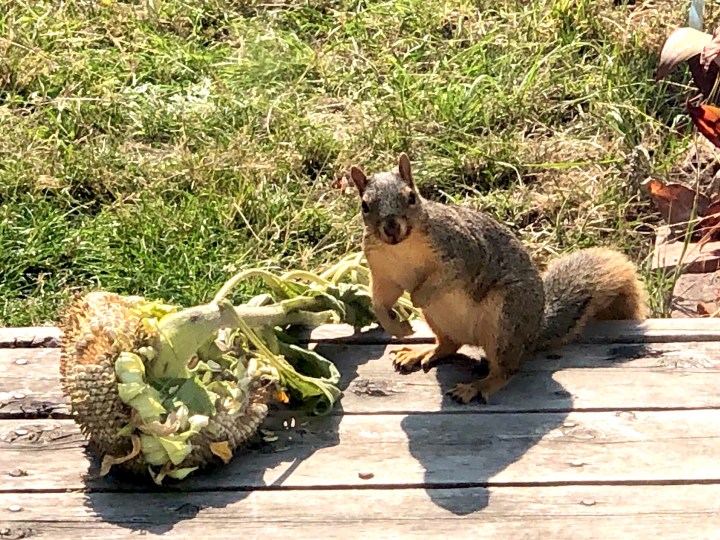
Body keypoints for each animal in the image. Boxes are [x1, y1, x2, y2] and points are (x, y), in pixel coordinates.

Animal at [348, 153, 648, 405]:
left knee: (507, 369)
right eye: (364, 205)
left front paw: (417, 296)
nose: (391, 228)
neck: (401, 247)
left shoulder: (462, 251)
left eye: (411, 197)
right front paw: (395, 324)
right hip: (442, 320)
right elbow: (381, 300)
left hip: (505, 319)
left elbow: (447, 276)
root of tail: (533, 331)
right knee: (449, 344)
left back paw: (477, 386)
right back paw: (421, 353)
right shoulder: (383, 271)